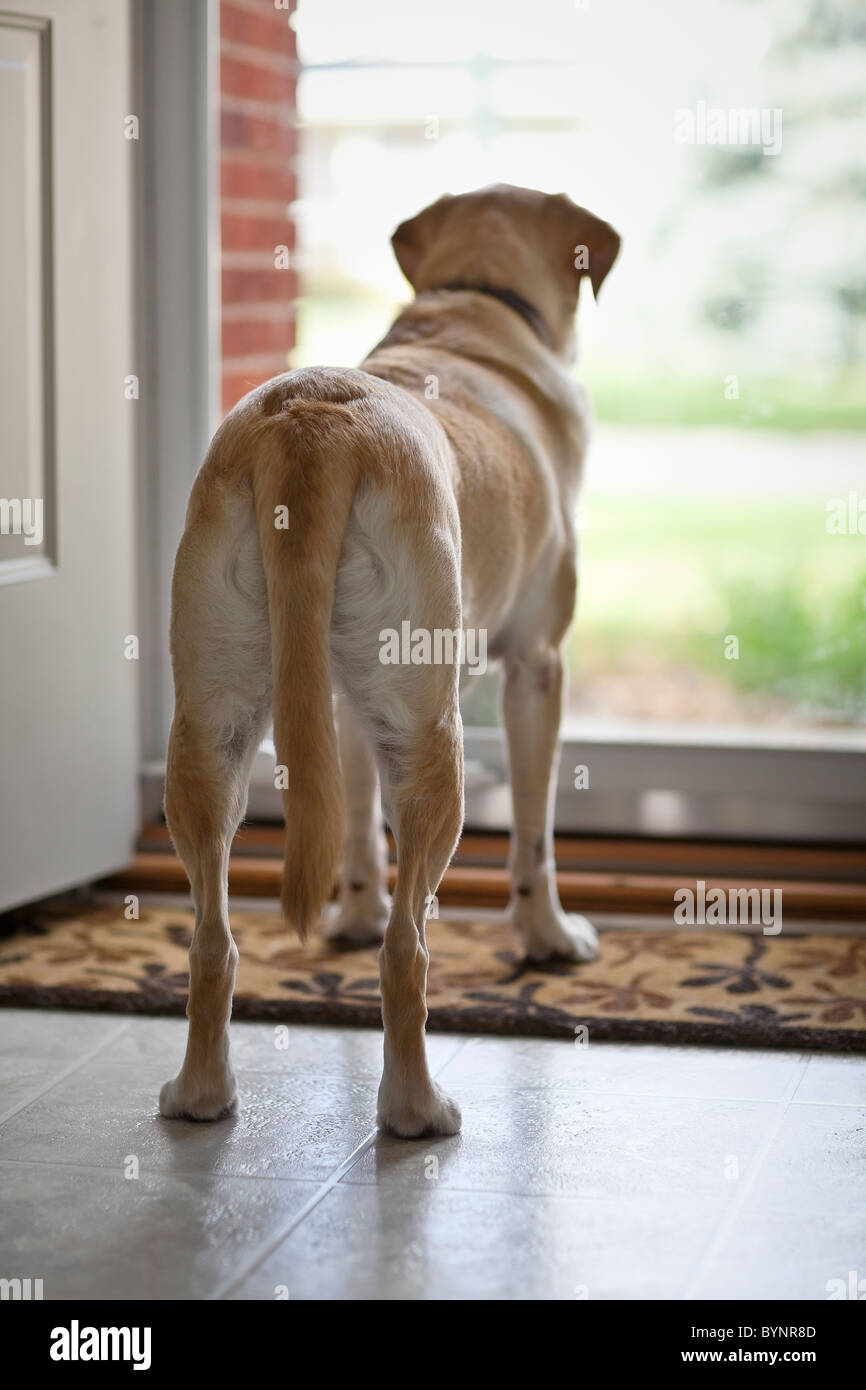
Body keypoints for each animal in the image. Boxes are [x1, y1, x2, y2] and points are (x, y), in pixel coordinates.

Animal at [159, 182, 619, 1139]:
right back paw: (415, 1107)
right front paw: (550, 938)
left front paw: (355, 911)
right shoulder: (539, 668)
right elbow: (536, 831)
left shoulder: (338, 703)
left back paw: (200, 1093)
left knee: (212, 938)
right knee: (411, 952)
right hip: (433, 738)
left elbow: (353, 816)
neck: (473, 305)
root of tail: (311, 428)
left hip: (211, 727)